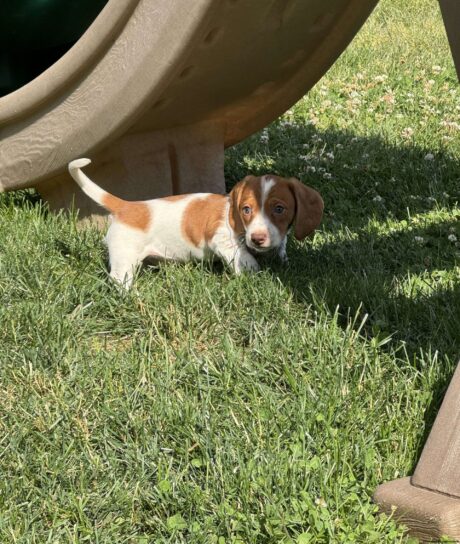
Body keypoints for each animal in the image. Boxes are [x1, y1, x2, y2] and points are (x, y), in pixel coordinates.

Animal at [67, 158, 324, 288]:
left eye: (279, 209)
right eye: (246, 210)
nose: (257, 239)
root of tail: (128, 206)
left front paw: (281, 259)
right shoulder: (222, 239)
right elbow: (245, 259)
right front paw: (253, 273)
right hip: (124, 258)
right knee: (119, 279)